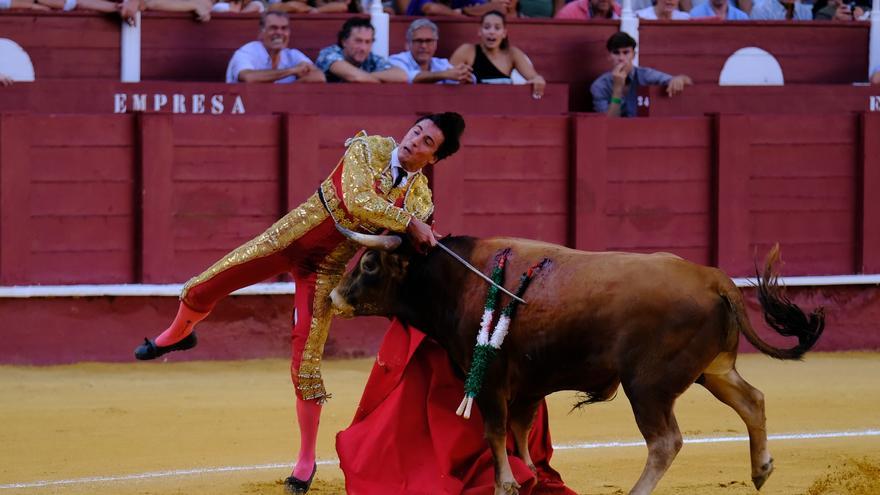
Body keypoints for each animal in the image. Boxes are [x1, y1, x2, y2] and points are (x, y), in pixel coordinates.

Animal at [328, 233, 824, 495]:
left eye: (369, 264)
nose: (333, 297)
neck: (456, 281)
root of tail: (716, 280)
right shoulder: (527, 384)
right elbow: (521, 430)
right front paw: (533, 476)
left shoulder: (490, 380)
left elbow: (495, 431)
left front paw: (506, 484)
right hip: (713, 369)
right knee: (752, 400)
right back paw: (761, 469)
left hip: (648, 386)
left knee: (665, 441)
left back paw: (637, 493)